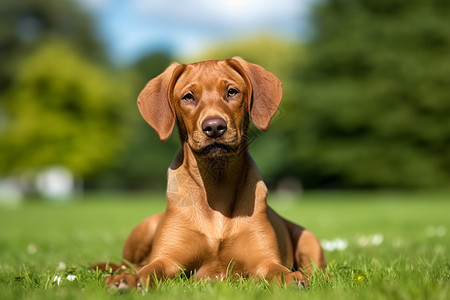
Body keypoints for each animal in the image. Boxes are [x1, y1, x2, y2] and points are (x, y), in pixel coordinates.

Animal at [96, 56, 326, 290]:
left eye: (232, 92)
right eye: (188, 97)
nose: (214, 127)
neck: (217, 184)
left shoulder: (264, 261)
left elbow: (278, 270)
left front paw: (291, 278)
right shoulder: (167, 259)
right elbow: (149, 269)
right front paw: (128, 281)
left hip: (308, 238)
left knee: (317, 268)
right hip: (146, 226)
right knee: (130, 264)